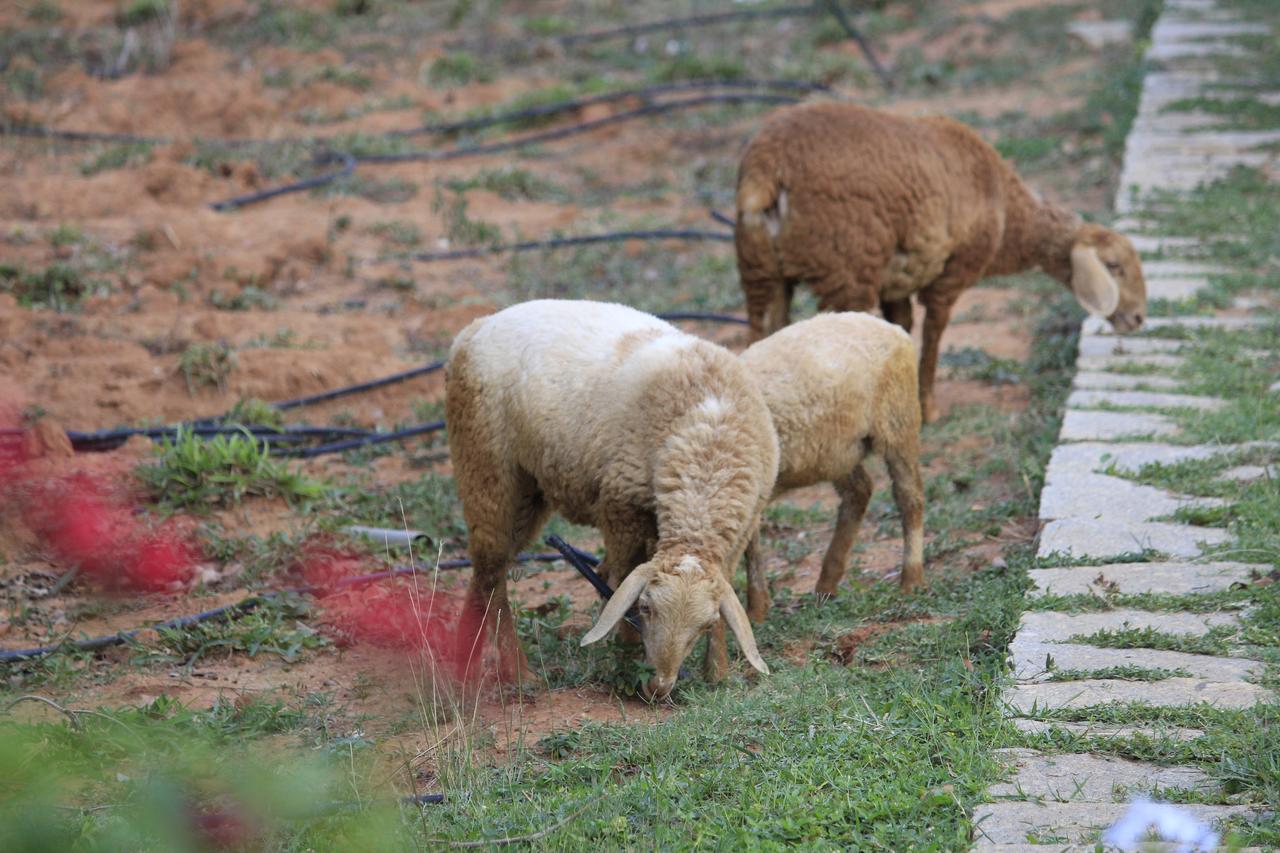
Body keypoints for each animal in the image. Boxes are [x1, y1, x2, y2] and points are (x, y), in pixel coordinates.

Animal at [440, 298, 778, 696]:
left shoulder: (741, 527)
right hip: (484, 460)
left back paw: (464, 661)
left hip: (527, 489)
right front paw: (627, 660)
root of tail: (473, 330)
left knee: (486, 569)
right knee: (492, 569)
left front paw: (717, 672)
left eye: (705, 624)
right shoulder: (622, 507)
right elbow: (624, 581)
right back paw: (518, 673)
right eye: (646, 608)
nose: (659, 686)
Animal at [737, 101, 1146, 420]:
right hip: (847, 267)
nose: (1140, 318)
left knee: (759, 339)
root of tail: (767, 169)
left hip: (761, 268)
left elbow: (901, 328)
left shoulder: (897, 281)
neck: (1008, 214)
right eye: (1115, 266)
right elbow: (933, 335)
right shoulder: (953, 272)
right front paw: (928, 407)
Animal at [737, 312, 926, 617]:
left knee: (909, 497)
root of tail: (887, 326)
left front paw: (751, 612)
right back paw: (827, 584)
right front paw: (757, 610)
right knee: (859, 491)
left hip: (898, 421)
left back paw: (911, 580)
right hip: (838, 452)